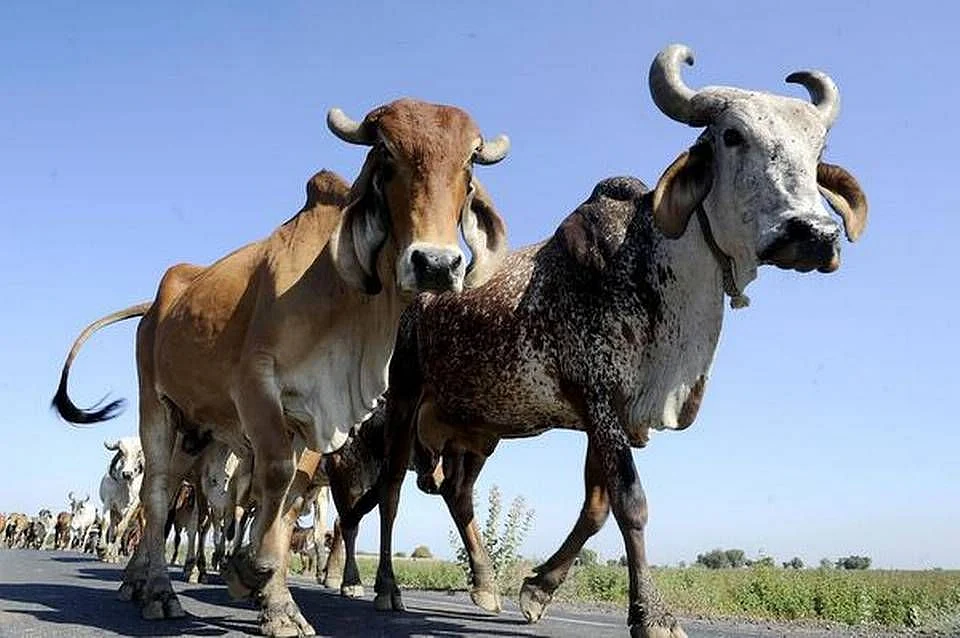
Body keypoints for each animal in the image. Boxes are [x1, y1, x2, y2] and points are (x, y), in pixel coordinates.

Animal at [52, 98, 511, 636]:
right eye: (387, 155)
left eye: (469, 165)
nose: (436, 264)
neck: (341, 301)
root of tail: (158, 302)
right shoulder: (256, 385)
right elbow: (271, 478)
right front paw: (248, 572)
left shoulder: (318, 416)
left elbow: (287, 500)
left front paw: (274, 599)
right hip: (156, 406)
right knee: (157, 493)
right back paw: (159, 592)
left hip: (199, 431)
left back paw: (141, 582)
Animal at [364, 44, 868, 638]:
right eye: (731, 136)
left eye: (819, 149)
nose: (813, 233)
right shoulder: (600, 399)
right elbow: (631, 504)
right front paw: (651, 614)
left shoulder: (609, 417)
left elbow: (596, 508)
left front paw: (537, 589)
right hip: (405, 396)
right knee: (392, 490)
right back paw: (385, 588)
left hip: (479, 433)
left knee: (458, 496)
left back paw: (485, 585)